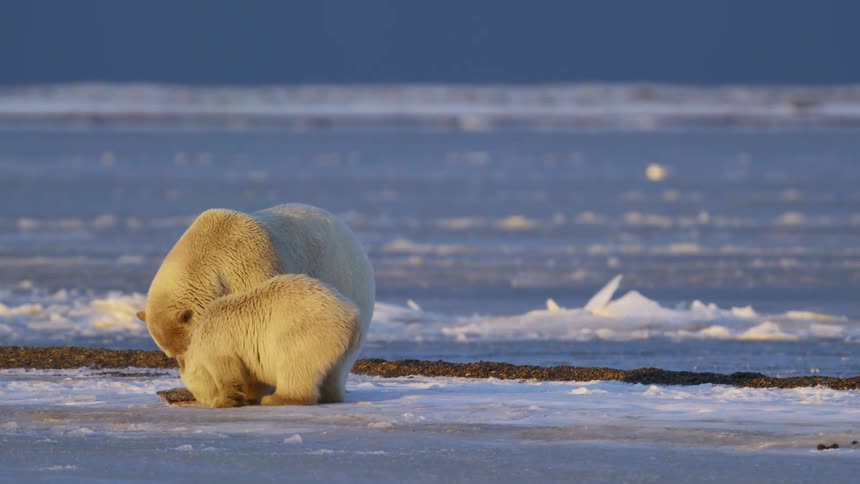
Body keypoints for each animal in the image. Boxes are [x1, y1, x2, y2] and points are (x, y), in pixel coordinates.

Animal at [177, 273, 360, 408]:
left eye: (195, 391)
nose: (202, 401)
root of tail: (350, 315)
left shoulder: (218, 344)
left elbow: (228, 373)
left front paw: (225, 400)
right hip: (344, 348)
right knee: (333, 375)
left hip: (305, 332)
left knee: (294, 364)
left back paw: (277, 399)